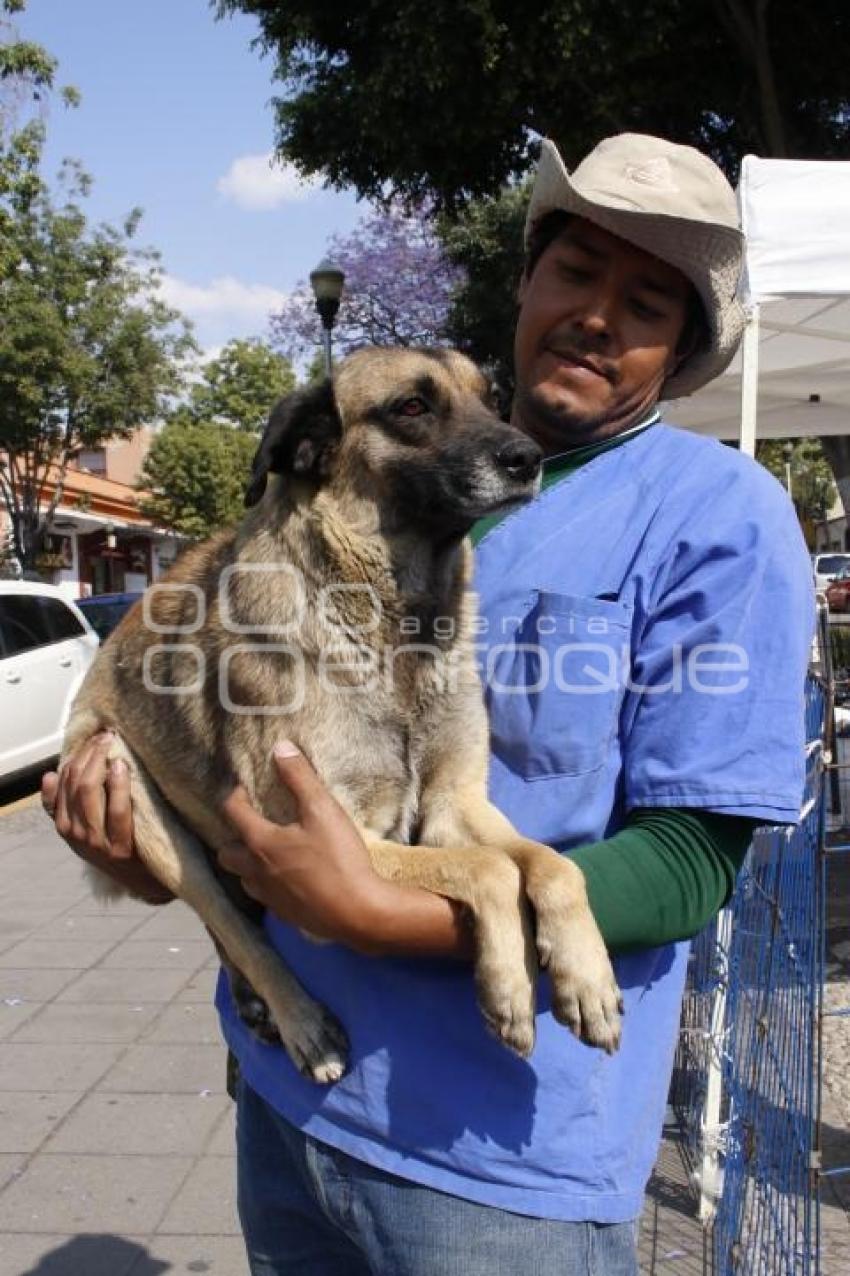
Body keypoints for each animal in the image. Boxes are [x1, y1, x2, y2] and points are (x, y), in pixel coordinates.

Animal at [62, 347, 620, 1076]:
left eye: (492, 398)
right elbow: (491, 869)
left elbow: (552, 863)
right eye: (411, 406)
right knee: (236, 928)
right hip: (130, 782)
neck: (396, 629)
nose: (527, 457)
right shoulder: (341, 836)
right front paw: (509, 985)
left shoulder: (453, 805)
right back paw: (300, 1021)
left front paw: (588, 976)